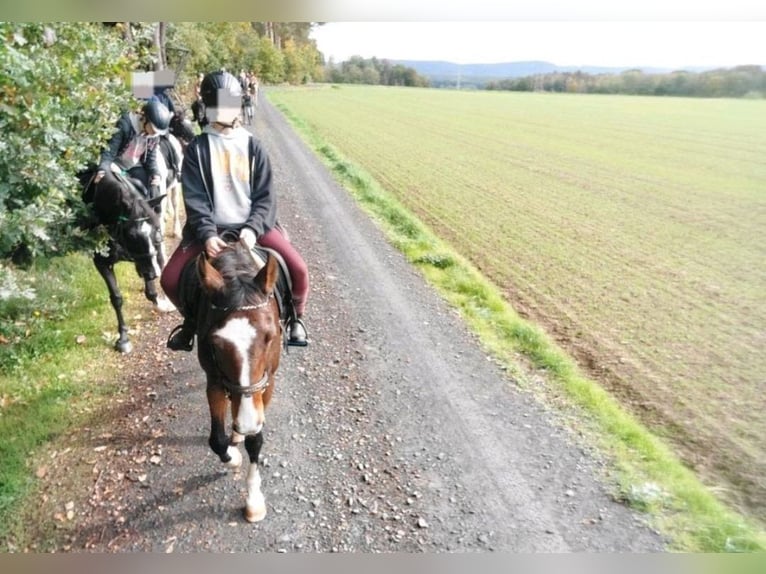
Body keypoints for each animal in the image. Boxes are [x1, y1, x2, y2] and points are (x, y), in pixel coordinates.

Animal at [82, 169, 166, 354]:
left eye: (156, 229)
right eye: (132, 235)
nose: (154, 273)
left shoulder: (144, 260)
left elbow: (151, 289)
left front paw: (161, 303)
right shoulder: (102, 264)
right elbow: (117, 298)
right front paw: (123, 339)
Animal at [182, 241, 284, 524]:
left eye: (270, 337)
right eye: (216, 343)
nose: (248, 422)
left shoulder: (267, 383)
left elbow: (255, 441)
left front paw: (254, 501)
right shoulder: (215, 381)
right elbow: (216, 439)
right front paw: (234, 458)